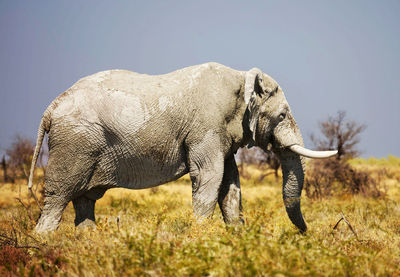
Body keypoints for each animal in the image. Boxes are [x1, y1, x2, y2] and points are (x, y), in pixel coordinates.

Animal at [28, 62, 336, 231]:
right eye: (282, 115)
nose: (306, 234)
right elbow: (210, 178)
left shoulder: (220, 134)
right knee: (58, 197)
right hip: (75, 143)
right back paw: (43, 242)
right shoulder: (206, 127)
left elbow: (230, 185)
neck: (240, 78)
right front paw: (199, 237)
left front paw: (236, 239)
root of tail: (51, 107)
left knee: (84, 201)